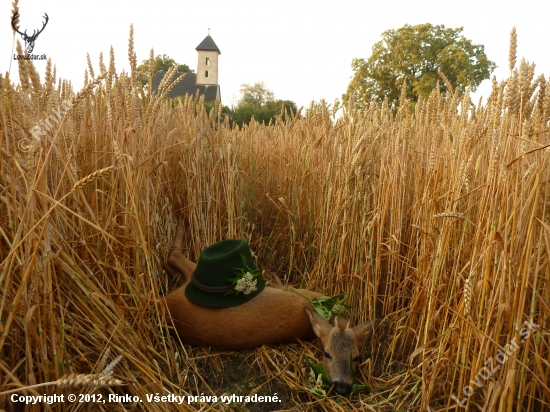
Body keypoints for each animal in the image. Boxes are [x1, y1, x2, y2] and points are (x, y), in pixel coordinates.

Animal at [164, 220, 378, 394]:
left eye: (357, 357)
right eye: (327, 354)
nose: (342, 387)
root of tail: (166, 305)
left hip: (191, 281)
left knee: (172, 257)